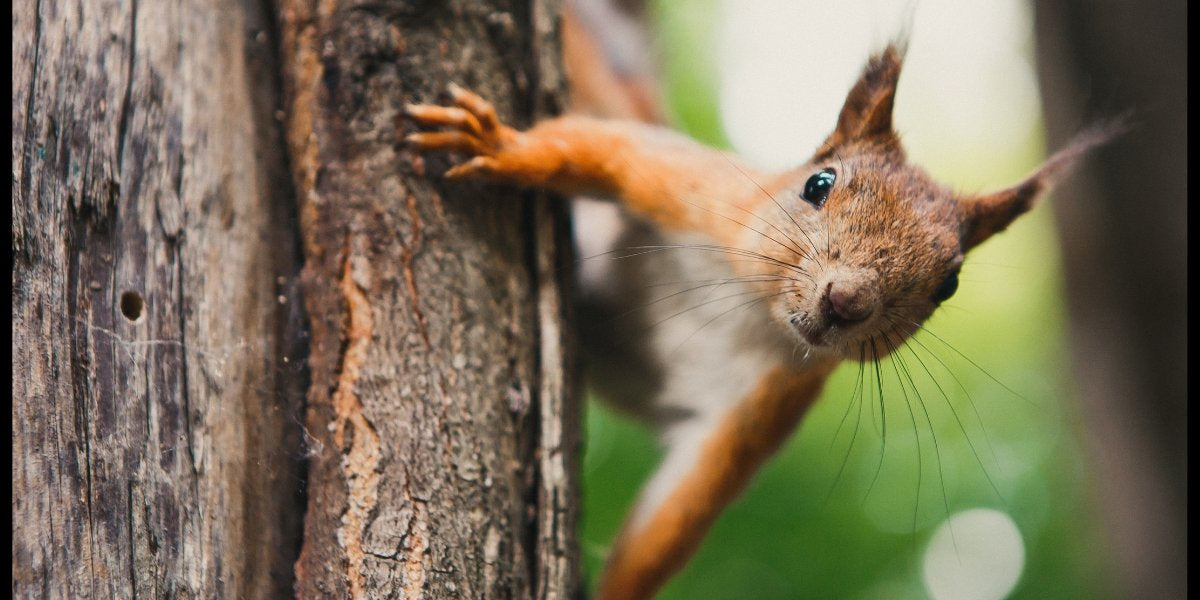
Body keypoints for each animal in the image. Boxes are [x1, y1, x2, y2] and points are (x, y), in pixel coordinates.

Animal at [403, 2, 1113, 597]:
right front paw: (502, 146)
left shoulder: (758, 407)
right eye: (818, 184)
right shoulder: (702, 192)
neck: (750, 311)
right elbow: (600, 148)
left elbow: (671, 522)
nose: (846, 301)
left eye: (950, 285)